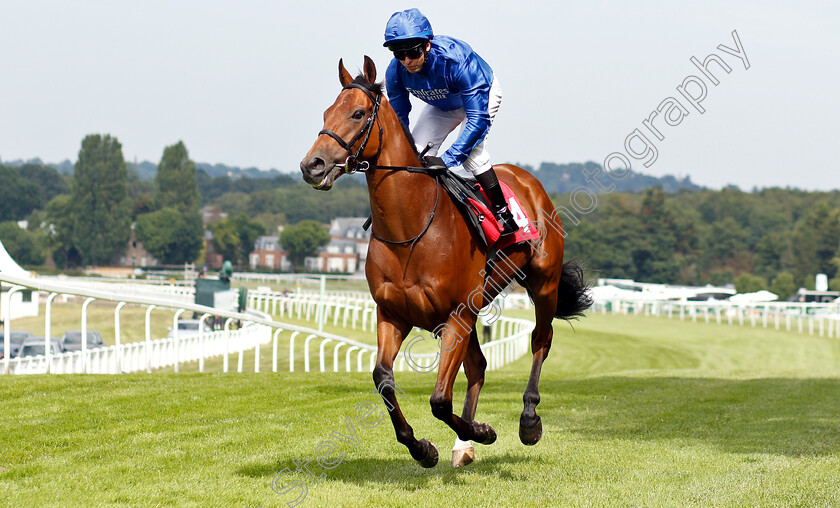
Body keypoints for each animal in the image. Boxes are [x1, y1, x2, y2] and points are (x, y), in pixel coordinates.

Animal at [302, 56, 592, 468]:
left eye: (358, 113)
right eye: (327, 113)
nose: (312, 165)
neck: (411, 229)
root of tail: (528, 180)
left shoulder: (456, 314)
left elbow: (440, 400)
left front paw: (481, 432)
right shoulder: (395, 313)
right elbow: (383, 380)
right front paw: (424, 447)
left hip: (542, 283)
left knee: (541, 340)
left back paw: (528, 420)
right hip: (477, 304)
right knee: (479, 365)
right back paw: (463, 445)